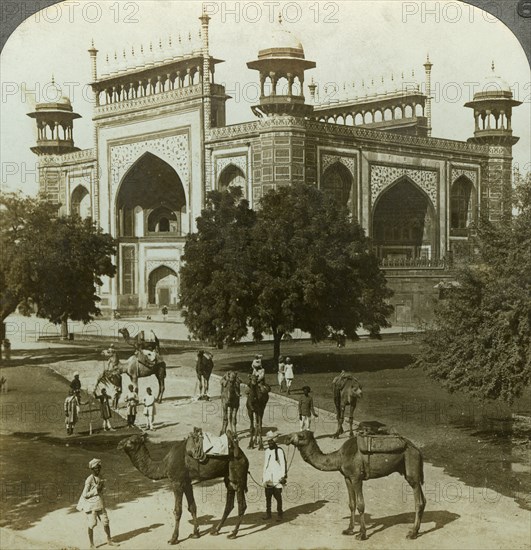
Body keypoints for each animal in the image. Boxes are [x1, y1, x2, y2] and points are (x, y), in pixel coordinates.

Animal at [118, 436, 249, 548]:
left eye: (132, 441)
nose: (119, 444)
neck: (164, 465)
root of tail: (244, 456)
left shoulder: (177, 482)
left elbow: (178, 511)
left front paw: (173, 539)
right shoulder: (186, 483)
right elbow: (192, 507)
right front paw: (195, 534)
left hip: (238, 473)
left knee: (242, 504)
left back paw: (233, 534)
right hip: (228, 477)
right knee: (229, 503)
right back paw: (216, 530)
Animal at [288, 434, 426, 540]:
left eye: (300, 435)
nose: (287, 438)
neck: (340, 457)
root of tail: (417, 450)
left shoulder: (356, 478)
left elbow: (360, 505)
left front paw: (362, 534)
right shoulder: (347, 478)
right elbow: (352, 504)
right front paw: (349, 530)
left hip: (411, 466)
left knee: (418, 501)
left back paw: (412, 533)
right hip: (409, 470)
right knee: (423, 499)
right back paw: (416, 530)